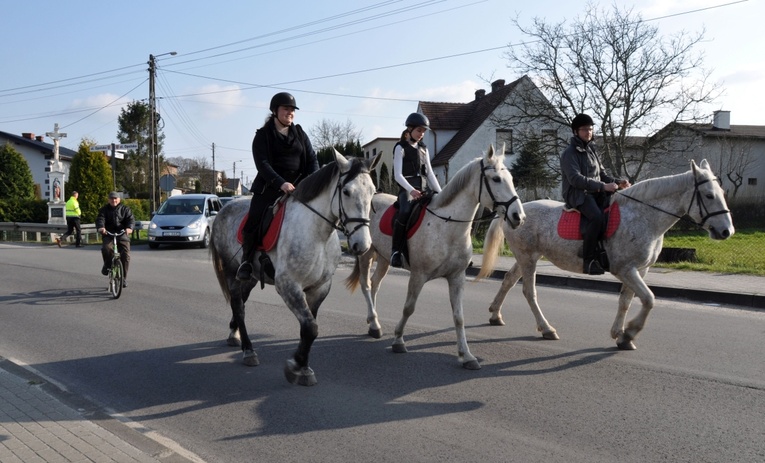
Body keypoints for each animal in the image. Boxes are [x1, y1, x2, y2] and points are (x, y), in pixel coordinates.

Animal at [209, 150, 380, 386]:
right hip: (231, 272)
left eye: (373, 191)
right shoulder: (289, 286)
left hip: (250, 278)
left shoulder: (319, 288)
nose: (362, 245)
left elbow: (308, 328)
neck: (318, 234)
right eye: (346, 191)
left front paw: (303, 366)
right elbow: (310, 328)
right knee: (239, 306)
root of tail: (222, 210)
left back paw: (235, 335)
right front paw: (296, 366)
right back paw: (249, 350)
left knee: (240, 303)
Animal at [346, 145, 524, 370]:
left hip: (384, 258)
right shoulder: (418, 275)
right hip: (366, 254)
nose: (519, 216)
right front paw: (398, 340)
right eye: (496, 179)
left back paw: (374, 323)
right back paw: (374, 323)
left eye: (510, 177)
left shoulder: (456, 277)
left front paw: (466, 355)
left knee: (375, 284)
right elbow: (409, 308)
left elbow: (459, 317)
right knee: (366, 285)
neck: (447, 226)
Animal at [478, 159, 736, 348]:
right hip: (528, 257)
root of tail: (513, 212)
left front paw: (620, 335)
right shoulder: (626, 269)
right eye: (709, 195)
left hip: (527, 257)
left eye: (722, 192)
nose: (727, 231)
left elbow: (626, 301)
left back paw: (495, 315)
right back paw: (547, 329)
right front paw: (630, 332)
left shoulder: (640, 270)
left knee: (509, 280)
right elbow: (648, 299)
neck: (643, 216)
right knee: (528, 291)